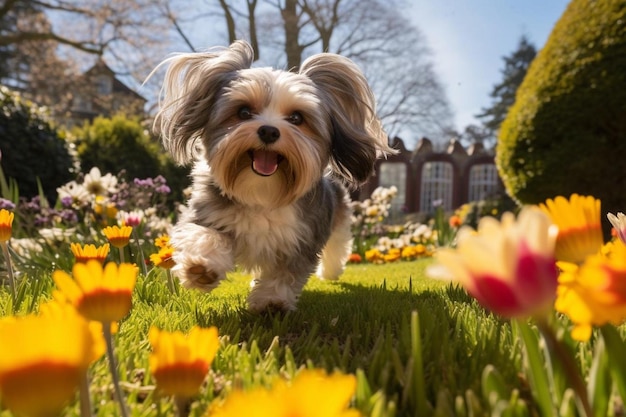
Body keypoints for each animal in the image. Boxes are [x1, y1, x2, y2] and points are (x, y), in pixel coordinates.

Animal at [152, 40, 390, 310]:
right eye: (244, 112)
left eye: (296, 117)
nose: (268, 130)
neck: (262, 194)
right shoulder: (205, 212)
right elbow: (205, 234)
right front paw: (200, 267)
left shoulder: (302, 239)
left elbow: (284, 273)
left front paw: (271, 301)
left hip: (338, 221)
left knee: (337, 247)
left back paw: (330, 272)